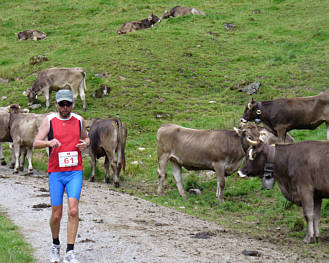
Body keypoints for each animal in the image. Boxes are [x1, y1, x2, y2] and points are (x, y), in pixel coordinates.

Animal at [156, 124, 288, 202]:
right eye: (249, 136)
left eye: (259, 134)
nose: (260, 144)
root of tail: (165, 125)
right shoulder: (218, 164)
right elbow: (222, 182)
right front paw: (221, 199)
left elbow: (219, 182)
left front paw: (217, 196)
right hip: (163, 155)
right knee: (162, 174)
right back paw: (160, 193)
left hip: (175, 160)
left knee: (177, 177)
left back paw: (184, 195)